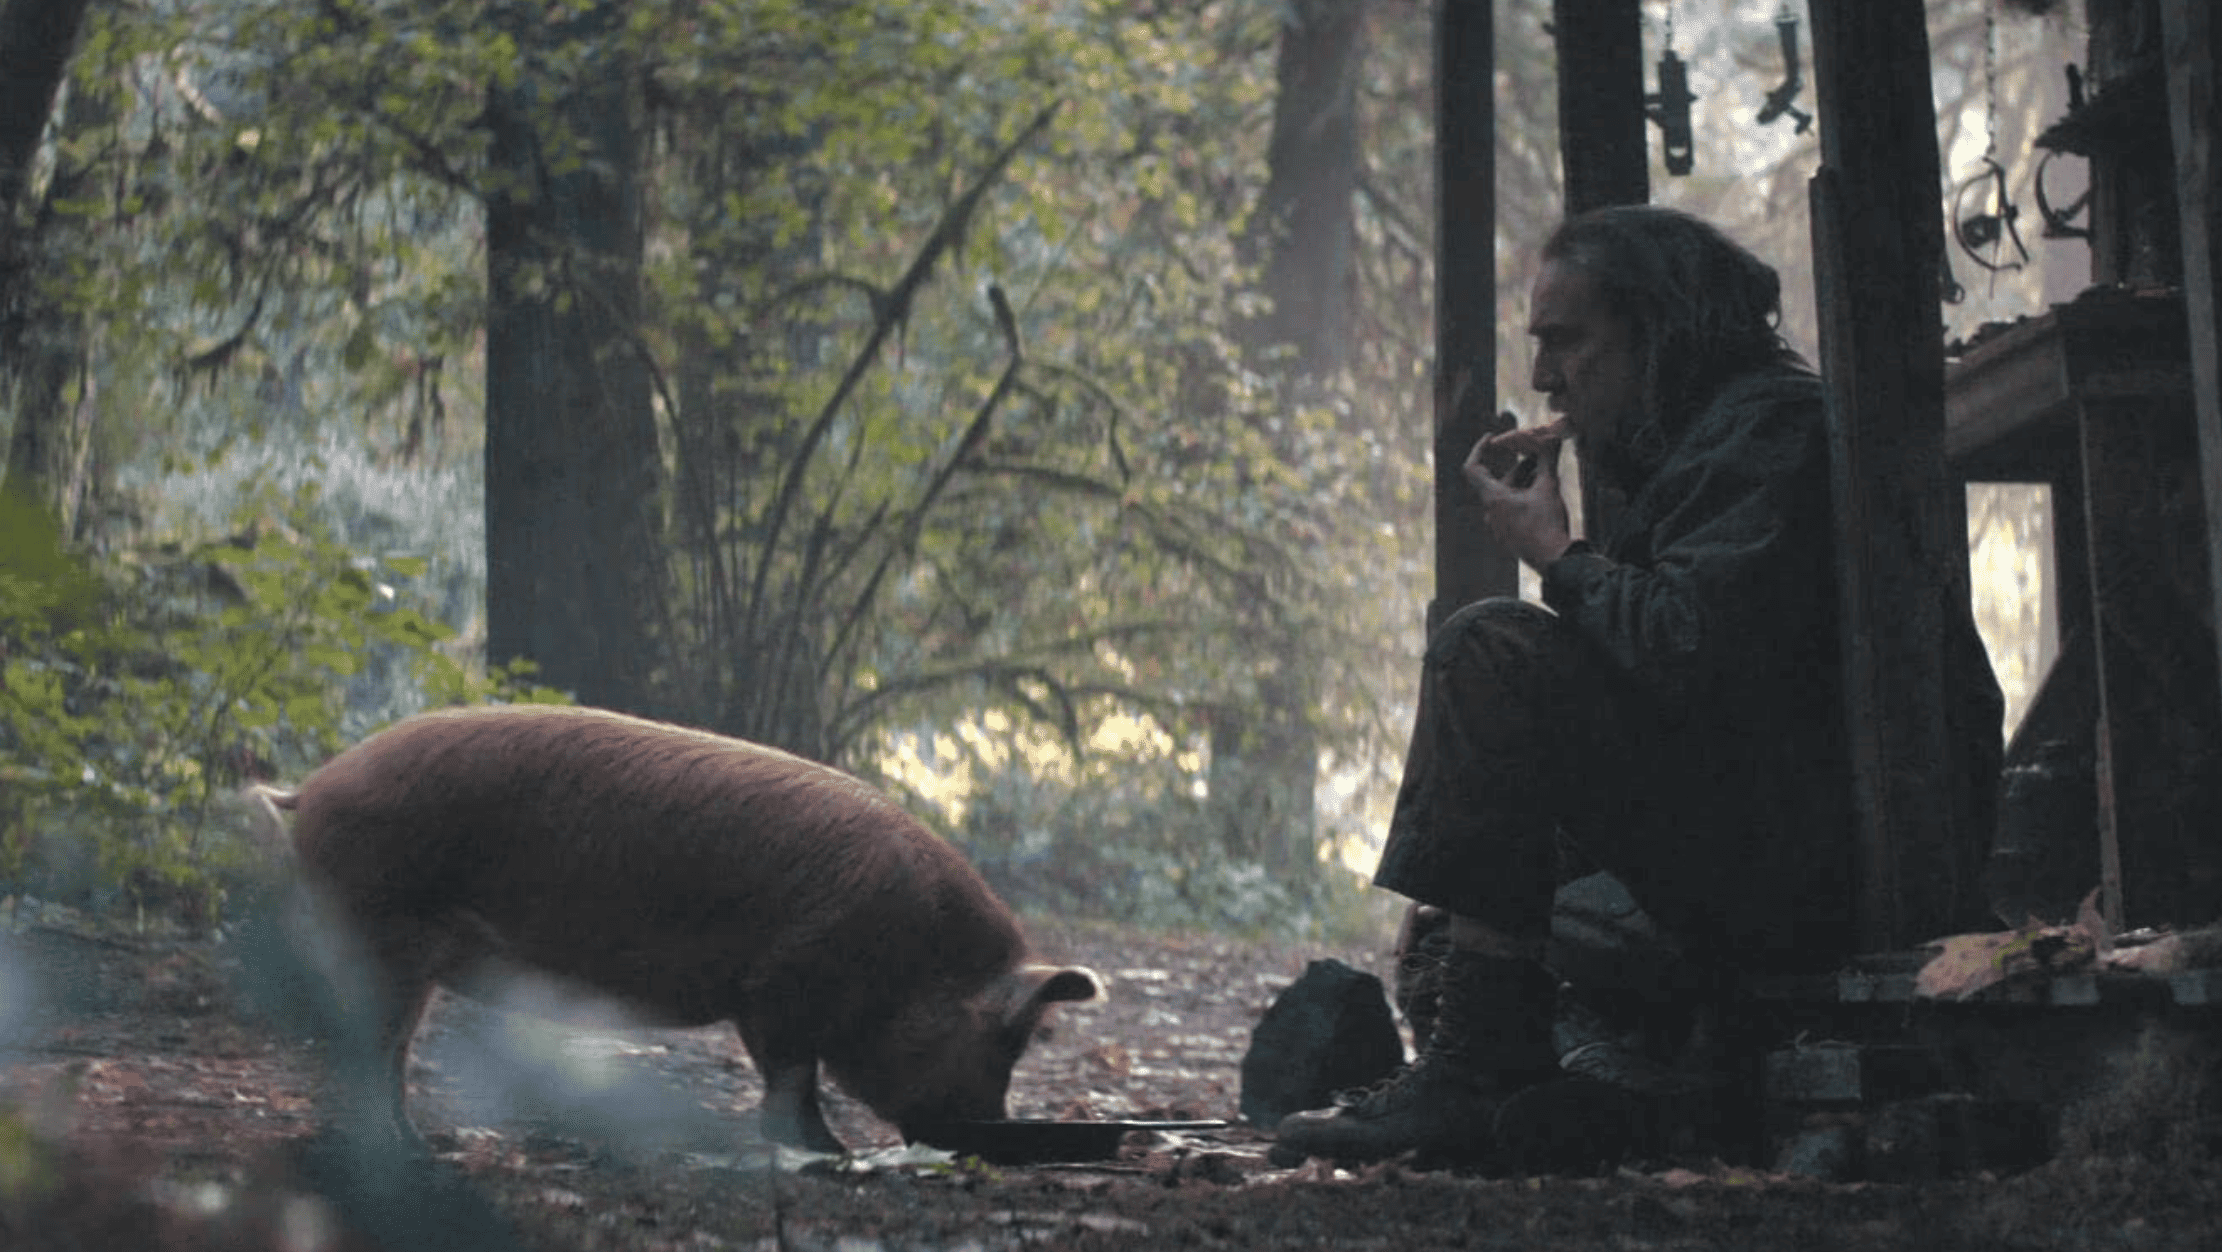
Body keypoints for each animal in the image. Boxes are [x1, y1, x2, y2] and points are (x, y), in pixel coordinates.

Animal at [245, 707, 1102, 1156]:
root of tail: (312, 788)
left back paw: (420, 1144)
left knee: (387, 1047)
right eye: (1006, 1043)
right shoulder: (780, 985)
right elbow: (792, 1074)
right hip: (376, 926)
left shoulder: (771, 995)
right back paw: (400, 1147)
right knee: (370, 1045)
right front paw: (829, 1153)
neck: (912, 953)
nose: (997, 1134)